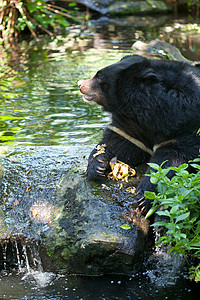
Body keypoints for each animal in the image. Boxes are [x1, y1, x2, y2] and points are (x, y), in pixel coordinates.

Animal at [77, 54, 200, 213]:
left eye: (99, 77)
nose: (80, 84)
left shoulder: (183, 123)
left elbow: (172, 159)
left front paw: (144, 197)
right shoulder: (130, 127)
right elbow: (120, 142)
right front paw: (98, 164)